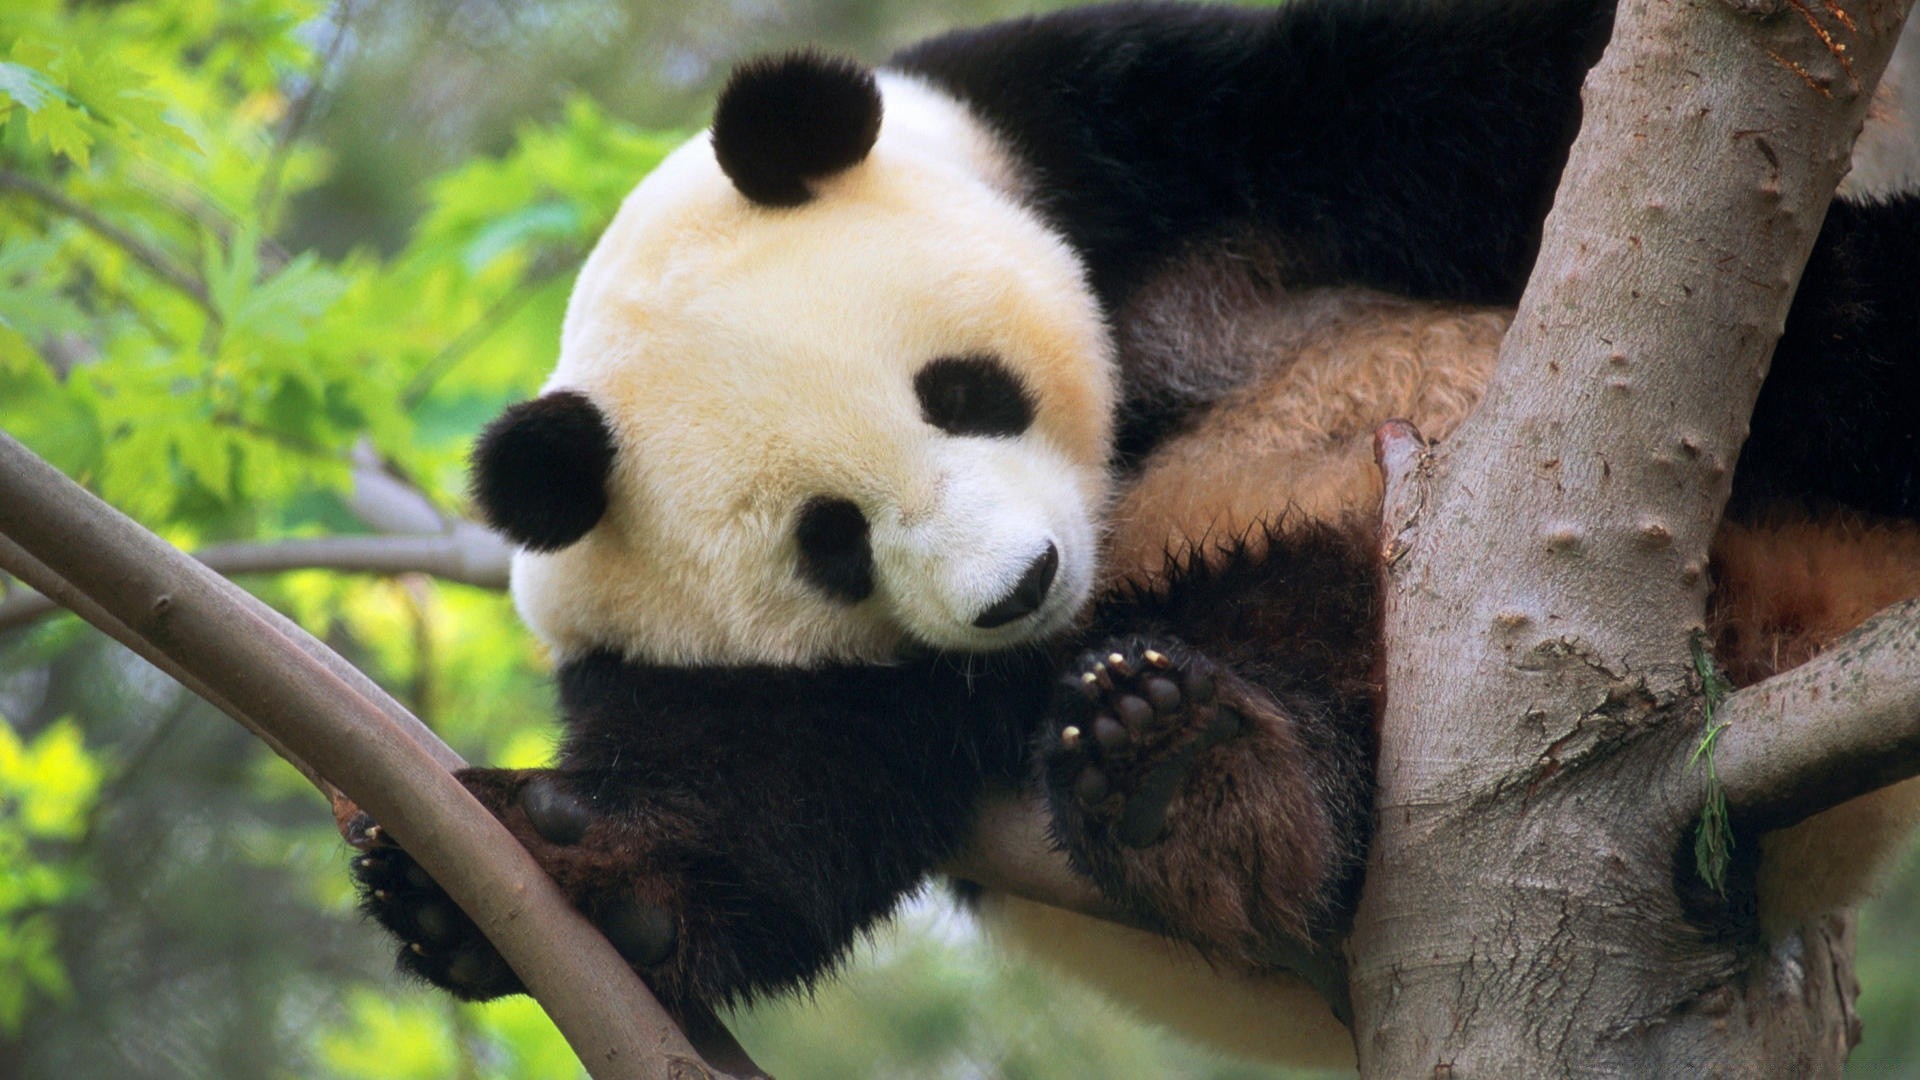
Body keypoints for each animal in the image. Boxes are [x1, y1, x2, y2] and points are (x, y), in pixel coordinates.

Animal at [353, 0, 1920, 1060]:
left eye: (961, 392)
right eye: (831, 543)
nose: (1021, 587)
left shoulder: (1124, 127)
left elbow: (1455, 94)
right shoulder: (739, 664)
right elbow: (769, 795)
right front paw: (515, 881)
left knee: (1837, 331)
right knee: (1291, 640)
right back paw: (1191, 773)